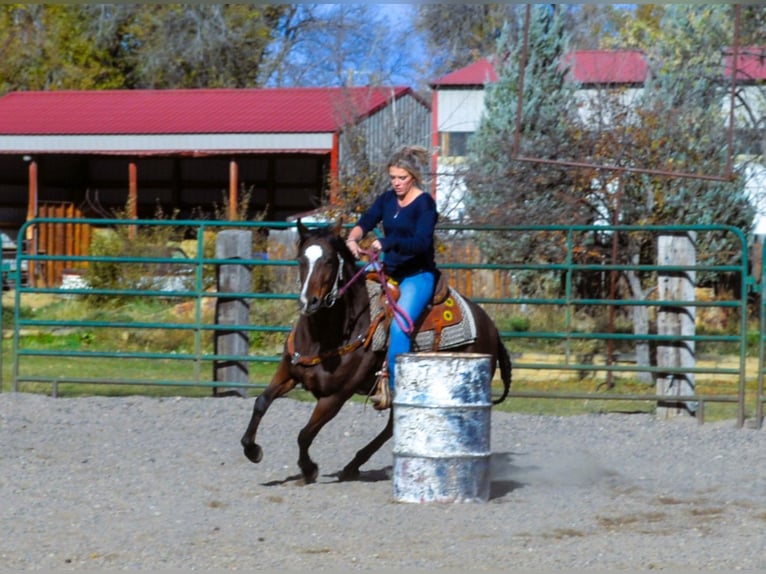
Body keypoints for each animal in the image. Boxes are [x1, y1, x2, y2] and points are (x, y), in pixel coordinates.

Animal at [243, 220, 512, 486]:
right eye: (300, 259)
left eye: (329, 260)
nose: (309, 302)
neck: (325, 336)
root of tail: (489, 325)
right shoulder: (288, 373)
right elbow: (261, 402)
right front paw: (252, 450)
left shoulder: (335, 397)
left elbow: (305, 434)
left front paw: (309, 470)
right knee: (393, 424)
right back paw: (353, 466)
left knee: (391, 426)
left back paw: (354, 465)